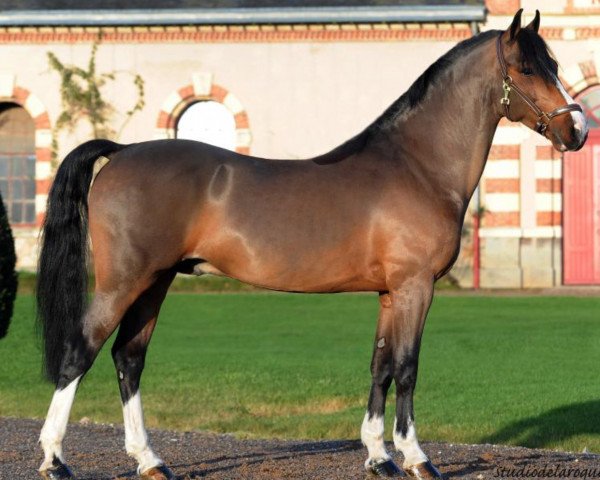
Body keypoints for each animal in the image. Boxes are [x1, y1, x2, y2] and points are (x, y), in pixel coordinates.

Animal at [36, 11, 584, 480]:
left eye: (555, 65)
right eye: (526, 67)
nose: (576, 129)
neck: (416, 166)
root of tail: (122, 152)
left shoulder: (389, 294)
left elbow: (380, 367)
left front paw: (378, 456)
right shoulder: (415, 287)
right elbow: (407, 367)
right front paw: (415, 457)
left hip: (157, 280)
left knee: (128, 358)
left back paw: (149, 460)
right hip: (124, 281)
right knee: (80, 351)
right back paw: (55, 459)